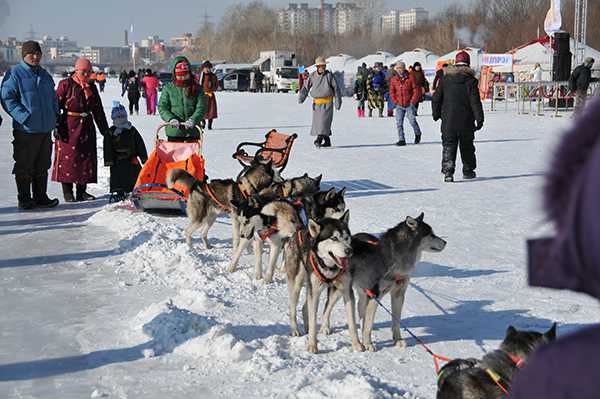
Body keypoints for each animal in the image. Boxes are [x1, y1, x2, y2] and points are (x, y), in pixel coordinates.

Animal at [284, 212, 364, 354]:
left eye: (346, 237)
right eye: (334, 238)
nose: (349, 251)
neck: (330, 267)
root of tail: (300, 230)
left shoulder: (347, 291)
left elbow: (351, 321)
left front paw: (356, 344)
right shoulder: (314, 292)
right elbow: (313, 319)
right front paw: (312, 346)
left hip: (335, 291)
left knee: (320, 307)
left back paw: (321, 327)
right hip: (297, 284)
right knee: (293, 307)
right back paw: (295, 330)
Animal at [324, 214, 446, 352]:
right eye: (431, 234)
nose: (445, 242)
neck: (394, 259)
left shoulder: (398, 294)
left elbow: (396, 320)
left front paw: (397, 340)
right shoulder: (375, 294)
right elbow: (369, 324)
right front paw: (368, 343)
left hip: (363, 292)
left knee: (361, 310)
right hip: (342, 289)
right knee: (328, 306)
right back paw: (325, 327)